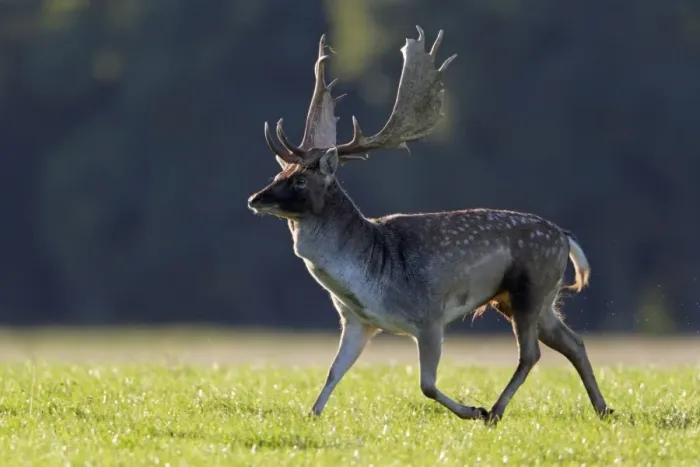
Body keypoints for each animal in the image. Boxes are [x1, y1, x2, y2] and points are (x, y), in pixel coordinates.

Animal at [247, 26, 613, 425]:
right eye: (280, 172)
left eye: (300, 180)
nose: (255, 199)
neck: (369, 279)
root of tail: (564, 237)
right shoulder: (357, 322)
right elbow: (332, 372)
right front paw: (312, 415)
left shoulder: (429, 316)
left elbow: (426, 385)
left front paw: (471, 409)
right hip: (533, 299)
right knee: (573, 342)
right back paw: (602, 407)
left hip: (529, 288)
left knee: (531, 353)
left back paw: (495, 410)